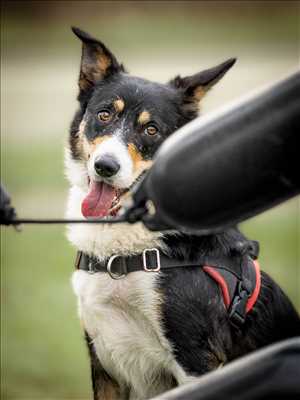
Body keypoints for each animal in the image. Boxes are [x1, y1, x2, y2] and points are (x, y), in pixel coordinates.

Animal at [65, 28, 300, 400]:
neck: (123, 256)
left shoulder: (195, 360)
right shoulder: (103, 365)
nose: (105, 166)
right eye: (104, 115)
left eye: (151, 130)